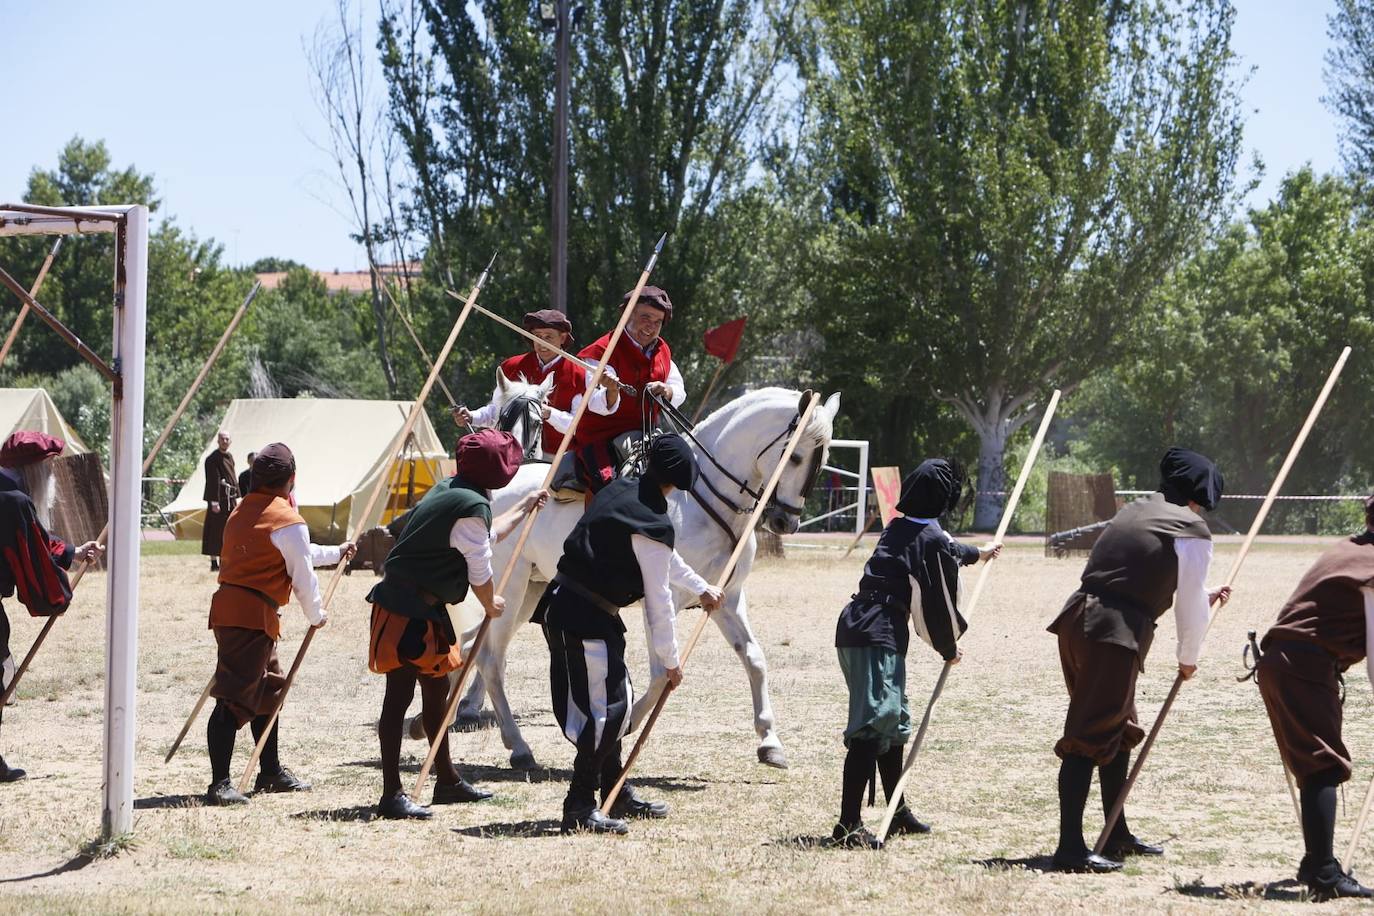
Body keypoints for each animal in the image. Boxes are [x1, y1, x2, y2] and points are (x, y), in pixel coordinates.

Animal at [450, 387, 840, 774]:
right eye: (795, 457)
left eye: (824, 458)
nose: (786, 522)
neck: (700, 500)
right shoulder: (664, 597)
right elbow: (660, 674)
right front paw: (627, 726)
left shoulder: (726, 598)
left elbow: (755, 659)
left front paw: (770, 742)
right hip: (512, 584)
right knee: (491, 660)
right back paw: (517, 747)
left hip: (532, 588)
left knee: (474, 646)